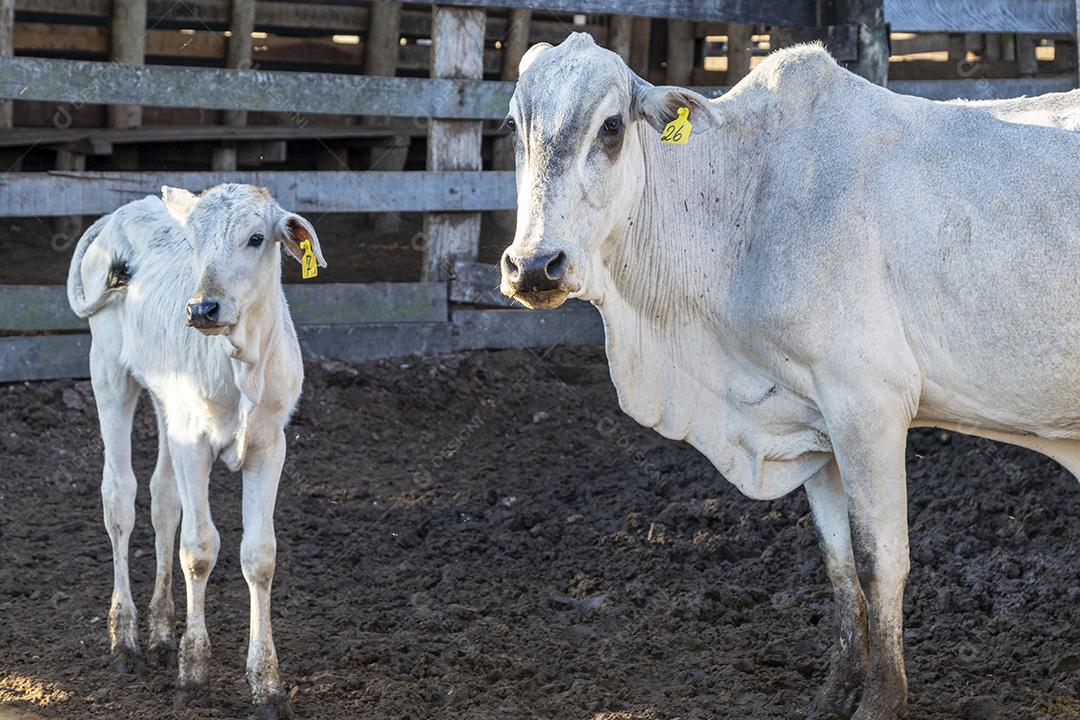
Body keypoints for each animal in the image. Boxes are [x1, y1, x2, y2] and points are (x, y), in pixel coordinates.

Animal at [67, 184, 326, 718]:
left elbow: (259, 556)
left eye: (255, 238)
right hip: (109, 372)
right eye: (192, 241)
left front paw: (267, 686)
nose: (202, 309)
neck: (242, 364)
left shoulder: (270, 444)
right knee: (120, 497)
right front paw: (194, 674)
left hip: (167, 403)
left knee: (163, 500)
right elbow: (199, 548)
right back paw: (124, 640)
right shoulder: (194, 442)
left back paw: (162, 635)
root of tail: (118, 213)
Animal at [498, 34, 1080, 720]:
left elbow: (880, 559)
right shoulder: (816, 424)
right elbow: (839, 564)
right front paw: (835, 693)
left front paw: (880, 701)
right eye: (514, 127)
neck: (747, 203)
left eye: (611, 126)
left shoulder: (868, 407)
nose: (534, 265)